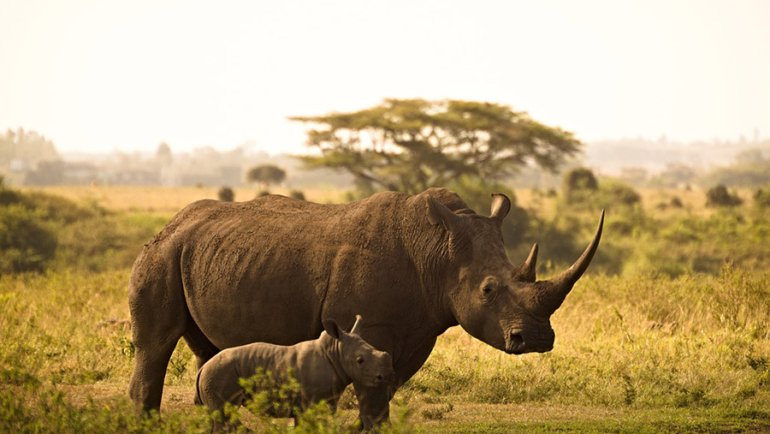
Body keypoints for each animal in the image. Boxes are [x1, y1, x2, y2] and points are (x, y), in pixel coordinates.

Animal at [195, 315, 393, 427]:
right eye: (360, 361)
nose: (385, 376)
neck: (335, 352)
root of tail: (203, 368)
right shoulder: (311, 403)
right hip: (219, 374)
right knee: (224, 417)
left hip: (215, 375)